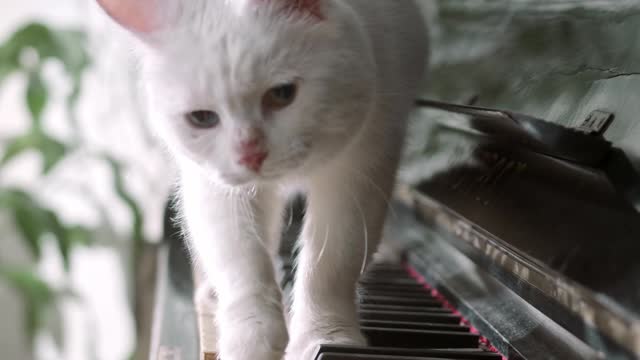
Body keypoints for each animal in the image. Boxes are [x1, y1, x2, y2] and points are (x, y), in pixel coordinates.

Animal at [97, 1, 428, 358]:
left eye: (282, 94)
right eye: (201, 118)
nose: (250, 155)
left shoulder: (362, 164)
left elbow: (332, 266)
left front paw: (325, 336)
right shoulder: (216, 188)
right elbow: (242, 264)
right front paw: (251, 339)